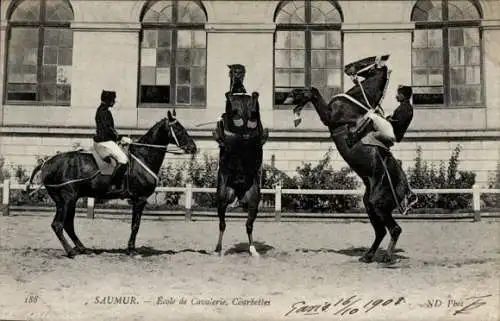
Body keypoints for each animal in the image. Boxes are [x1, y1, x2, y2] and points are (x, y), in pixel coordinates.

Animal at [25, 110, 197, 258]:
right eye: (179, 129)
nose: (193, 148)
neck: (143, 157)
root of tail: (47, 163)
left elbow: (135, 224)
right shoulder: (140, 199)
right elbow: (135, 225)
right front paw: (131, 250)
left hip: (65, 201)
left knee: (67, 225)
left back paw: (82, 248)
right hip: (68, 199)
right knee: (58, 225)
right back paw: (71, 251)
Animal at [212, 63, 270, 256]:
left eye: (242, 71)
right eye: (233, 71)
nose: (237, 76)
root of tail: (238, 191)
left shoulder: (255, 120)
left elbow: (254, 110)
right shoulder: (230, 119)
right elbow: (231, 110)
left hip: (253, 201)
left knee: (248, 225)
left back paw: (253, 251)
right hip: (222, 199)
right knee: (222, 224)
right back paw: (218, 249)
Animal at [282, 54, 418, 262]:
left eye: (367, 61)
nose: (347, 67)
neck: (357, 102)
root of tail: (406, 192)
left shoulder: (329, 116)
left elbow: (313, 91)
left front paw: (296, 100)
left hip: (379, 205)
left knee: (394, 229)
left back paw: (386, 257)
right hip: (369, 205)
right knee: (381, 231)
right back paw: (367, 256)